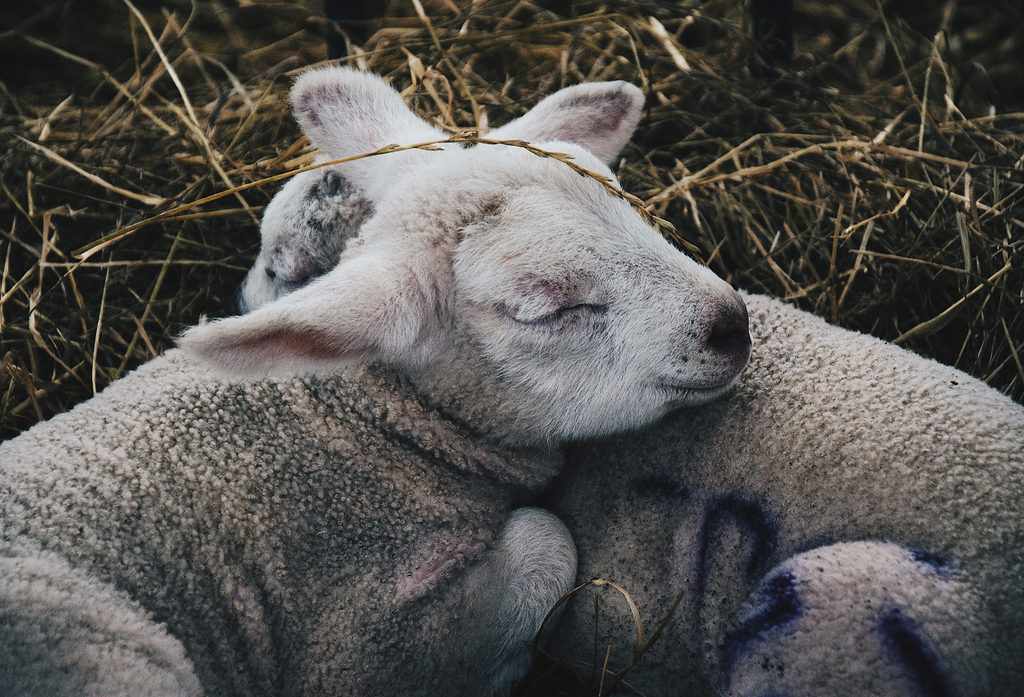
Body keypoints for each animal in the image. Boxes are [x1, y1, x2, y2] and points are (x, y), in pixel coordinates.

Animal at [0, 66, 753, 695]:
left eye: (628, 205)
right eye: (546, 306)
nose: (733, 323)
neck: (362, 419)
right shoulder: (359, 649)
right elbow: (547, 538)